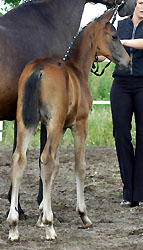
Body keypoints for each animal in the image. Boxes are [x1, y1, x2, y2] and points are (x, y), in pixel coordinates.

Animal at [0, 0, 135, 217]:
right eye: (115, 36)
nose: (131, 5)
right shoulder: (65, 122)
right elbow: (57, 161)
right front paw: (42, 205)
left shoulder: (27, 119)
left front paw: (21, 208)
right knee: (45, 157)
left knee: (21, 157)